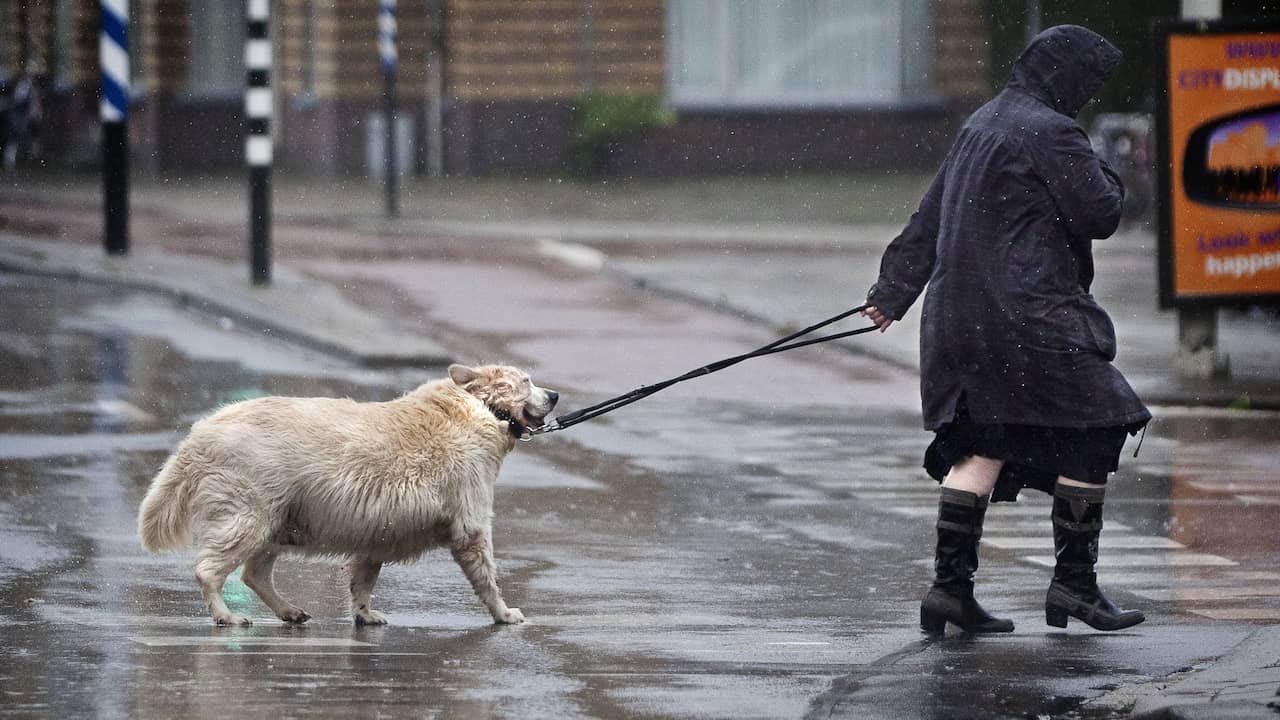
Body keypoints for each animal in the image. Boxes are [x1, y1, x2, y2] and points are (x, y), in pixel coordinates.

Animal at [137, 361, 558, 625]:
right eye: (526, 381)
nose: (554, 394)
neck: (480, 408)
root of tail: (200, 434)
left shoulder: (381, 525)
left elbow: (364, 574)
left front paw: (363, 612)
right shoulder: (468, 509)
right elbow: (483, 568)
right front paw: (504, 613)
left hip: (282, 512)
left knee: (255, 571)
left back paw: (288, 610)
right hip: (251, 504)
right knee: (212, 566)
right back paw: (225, 614)